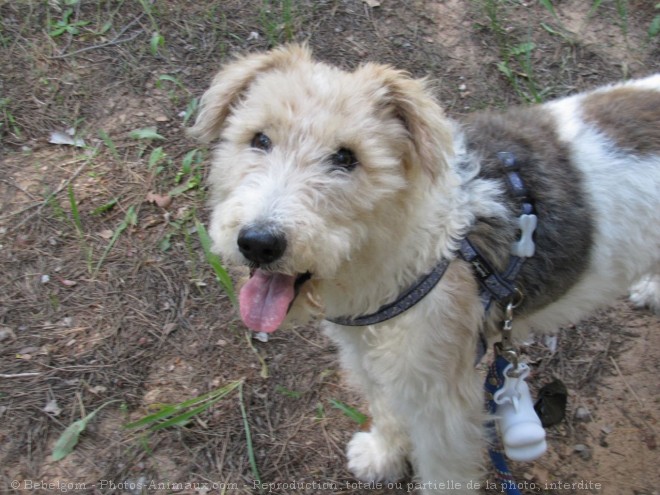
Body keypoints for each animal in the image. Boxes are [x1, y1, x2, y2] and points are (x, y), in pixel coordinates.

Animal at [188, 45, 656, 492]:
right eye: (260, 138)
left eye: (346, 157)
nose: (259, 242)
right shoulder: (372, 358)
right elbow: (386, 411)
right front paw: (382, 458)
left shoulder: (442, 406)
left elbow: (443, 473)